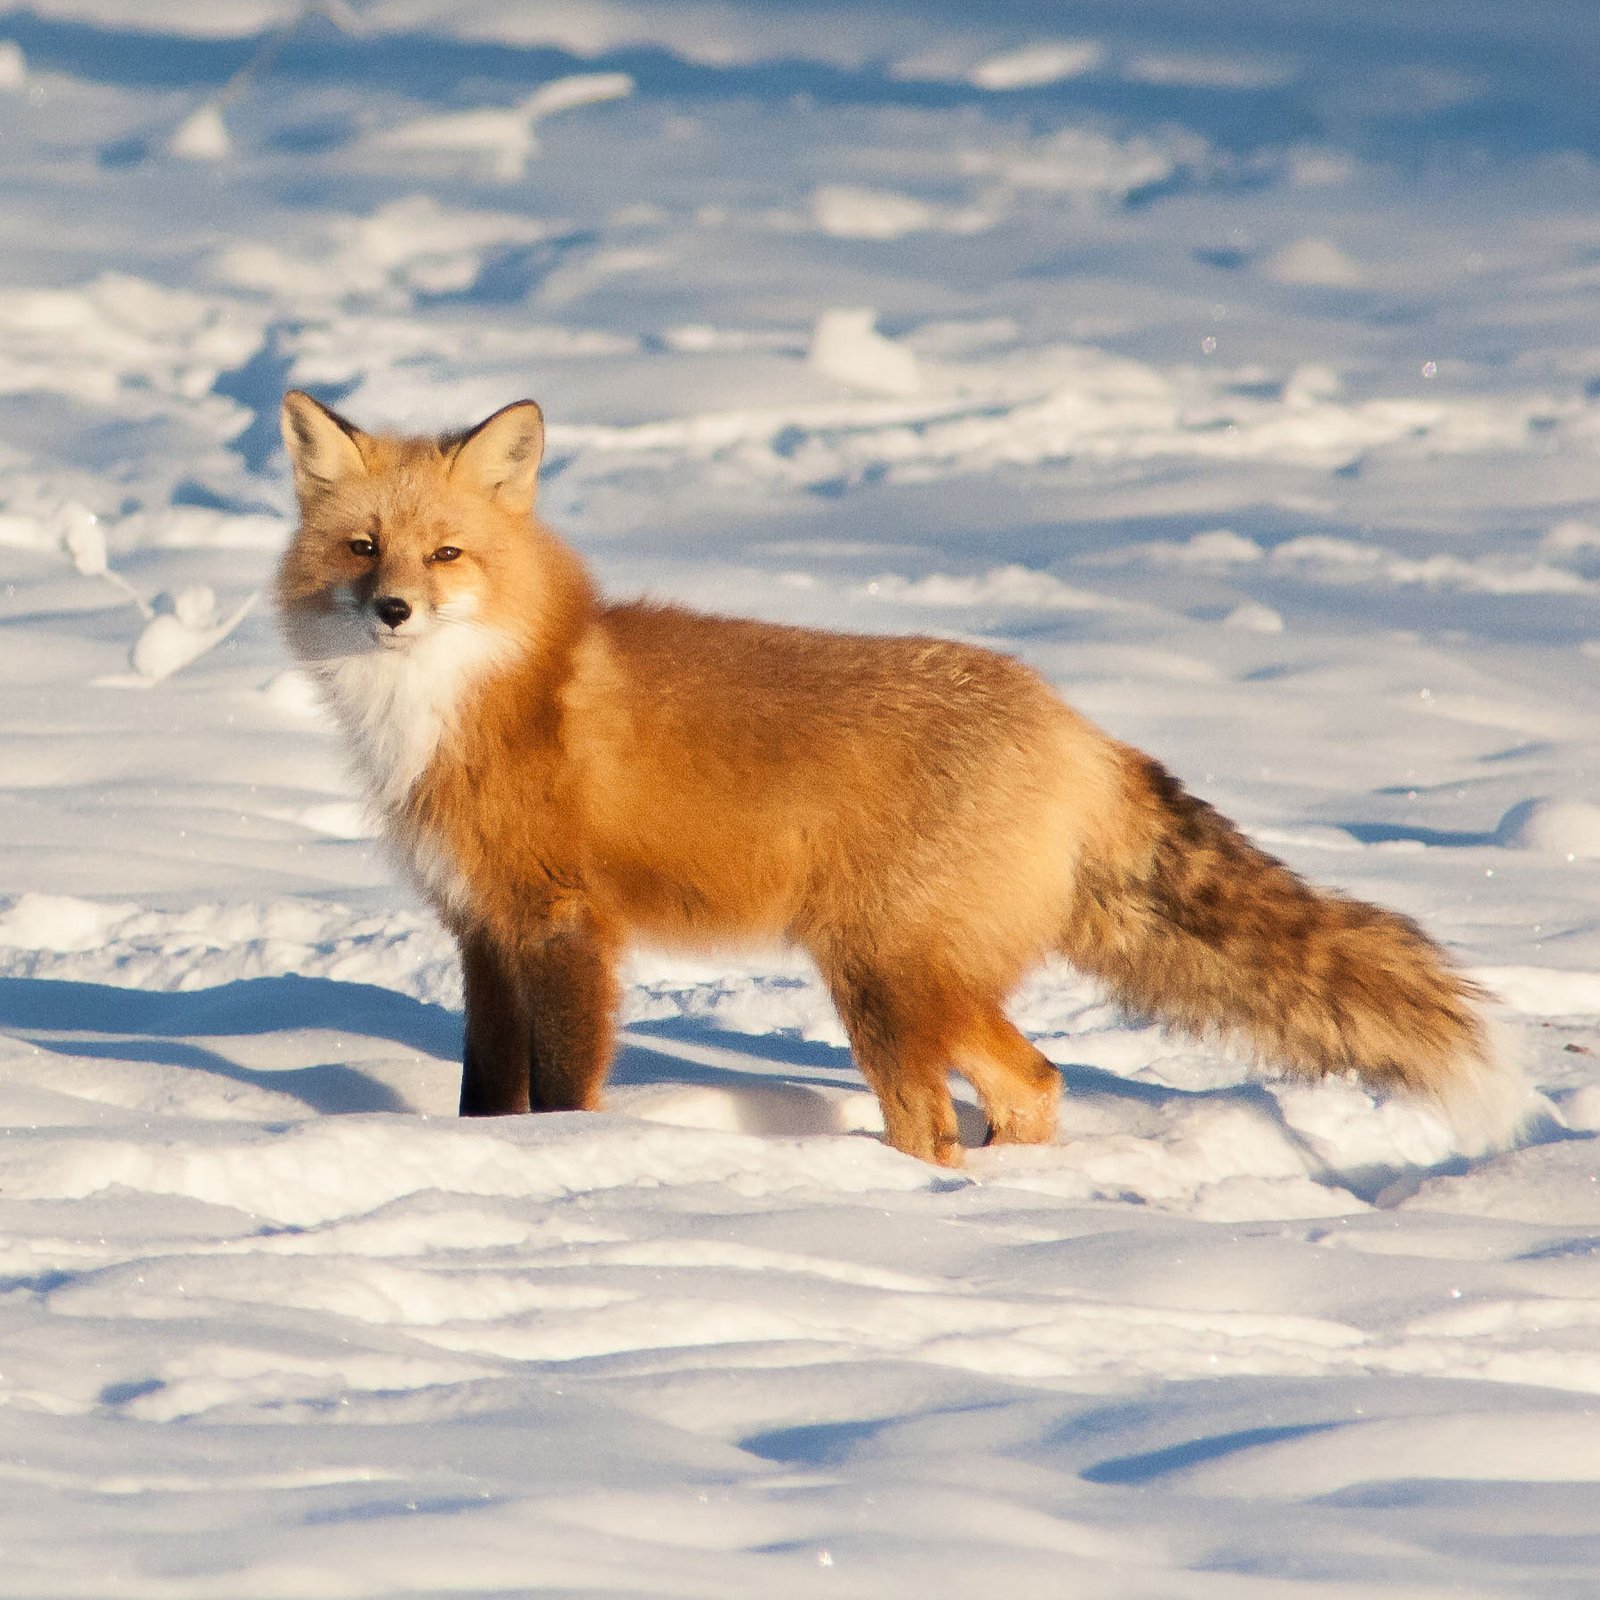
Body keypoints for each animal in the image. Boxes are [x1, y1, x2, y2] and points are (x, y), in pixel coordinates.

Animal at [278, 387, 1523, 1164]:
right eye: (362, 548)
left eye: (446, 553)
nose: (393, 610)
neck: (463, 700)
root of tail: (1073, 725)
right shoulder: (480, 930)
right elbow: (484, 1095)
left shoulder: (563, 926)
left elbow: (563, 1093)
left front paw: (568, 1162)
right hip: (924, 977)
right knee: (1038, 1084)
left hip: (879, 976)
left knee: (939, 1123)